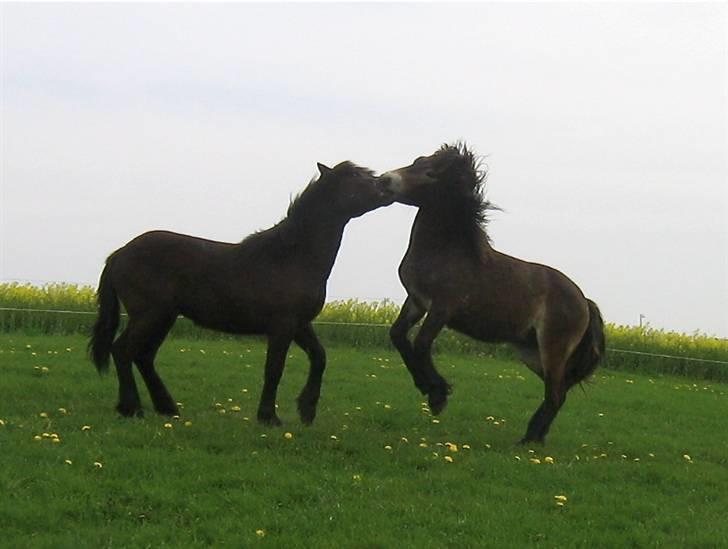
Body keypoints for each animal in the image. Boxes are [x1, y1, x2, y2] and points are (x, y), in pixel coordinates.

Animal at [89, 161, 396, 426]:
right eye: (355, 177)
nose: (387, 185)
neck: (291, 257)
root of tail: (120, 253)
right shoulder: (282, 326)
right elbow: (274, 369)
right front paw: (269, 417)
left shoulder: (300, 324)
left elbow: (319, 358)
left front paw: (306, 410)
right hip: (149, 315)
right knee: (123, 351)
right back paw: (131, 407)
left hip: (164, 318)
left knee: (143, 356)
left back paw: (166, 407)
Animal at [382, 143, 604, 444]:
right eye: (417, 161)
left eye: (430, 173)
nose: (385, 180)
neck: (444, 252)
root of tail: (584, 301)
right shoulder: (416, 302)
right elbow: (398, 336)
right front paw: (427, 388)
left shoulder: (442, 308)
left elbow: (421, 344)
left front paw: (438, 395)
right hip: (531, 353)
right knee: (559, 392)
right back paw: (534, 438)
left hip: (553, 349)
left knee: (555, 395)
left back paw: (527, 442)